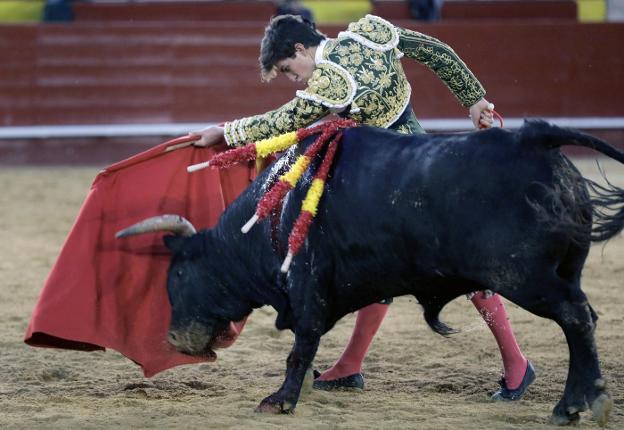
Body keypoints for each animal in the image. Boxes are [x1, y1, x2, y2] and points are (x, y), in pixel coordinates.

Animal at [118, 119, 624, 424]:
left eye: (178, 277)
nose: (173, 338)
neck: (271, 213)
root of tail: (536, 137)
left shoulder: (307, 287)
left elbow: (300, 346)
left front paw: (280, 400)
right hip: (561, 271)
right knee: (583, 320)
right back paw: (581, 400)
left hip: (522, 276)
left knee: (575, 317)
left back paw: (572, 404)